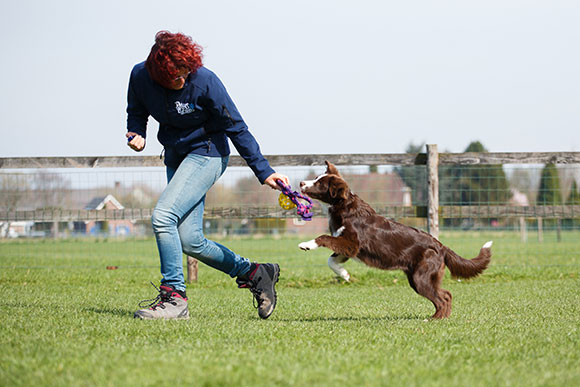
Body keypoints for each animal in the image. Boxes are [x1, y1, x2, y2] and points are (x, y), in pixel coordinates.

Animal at [296, 162, 492, 320]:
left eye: (319, 183)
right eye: (316, 178)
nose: (301, 183)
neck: (344, 207)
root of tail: (440, 245)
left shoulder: (352, 244)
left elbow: (324, 238)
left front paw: (306, 245)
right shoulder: (349, 248)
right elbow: (331, 260)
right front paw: (344, 275)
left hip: (421, 277)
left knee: (442, 298)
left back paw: (433, 319)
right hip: (418, 278)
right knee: (447, 294)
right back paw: (440, 317)